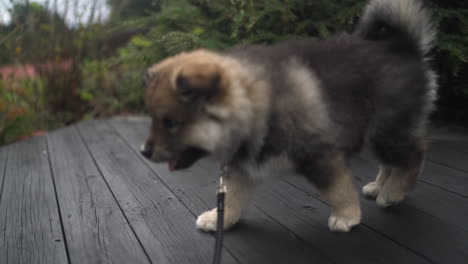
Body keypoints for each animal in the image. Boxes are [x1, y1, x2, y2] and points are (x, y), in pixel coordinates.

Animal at [140, 0, 438, 231]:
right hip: (381, 132)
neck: (257, 104)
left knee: (414, 156)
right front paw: (219, 219)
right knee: (392, 161)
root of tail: (404, 47)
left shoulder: (320, 154)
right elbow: (233, 199)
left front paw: (346, 216)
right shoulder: (244, 168)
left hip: (387, 127)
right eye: (154, 119)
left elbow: (337, 189)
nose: (144, 151)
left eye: (170, 122)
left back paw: (393, 192)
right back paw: (379, 187)